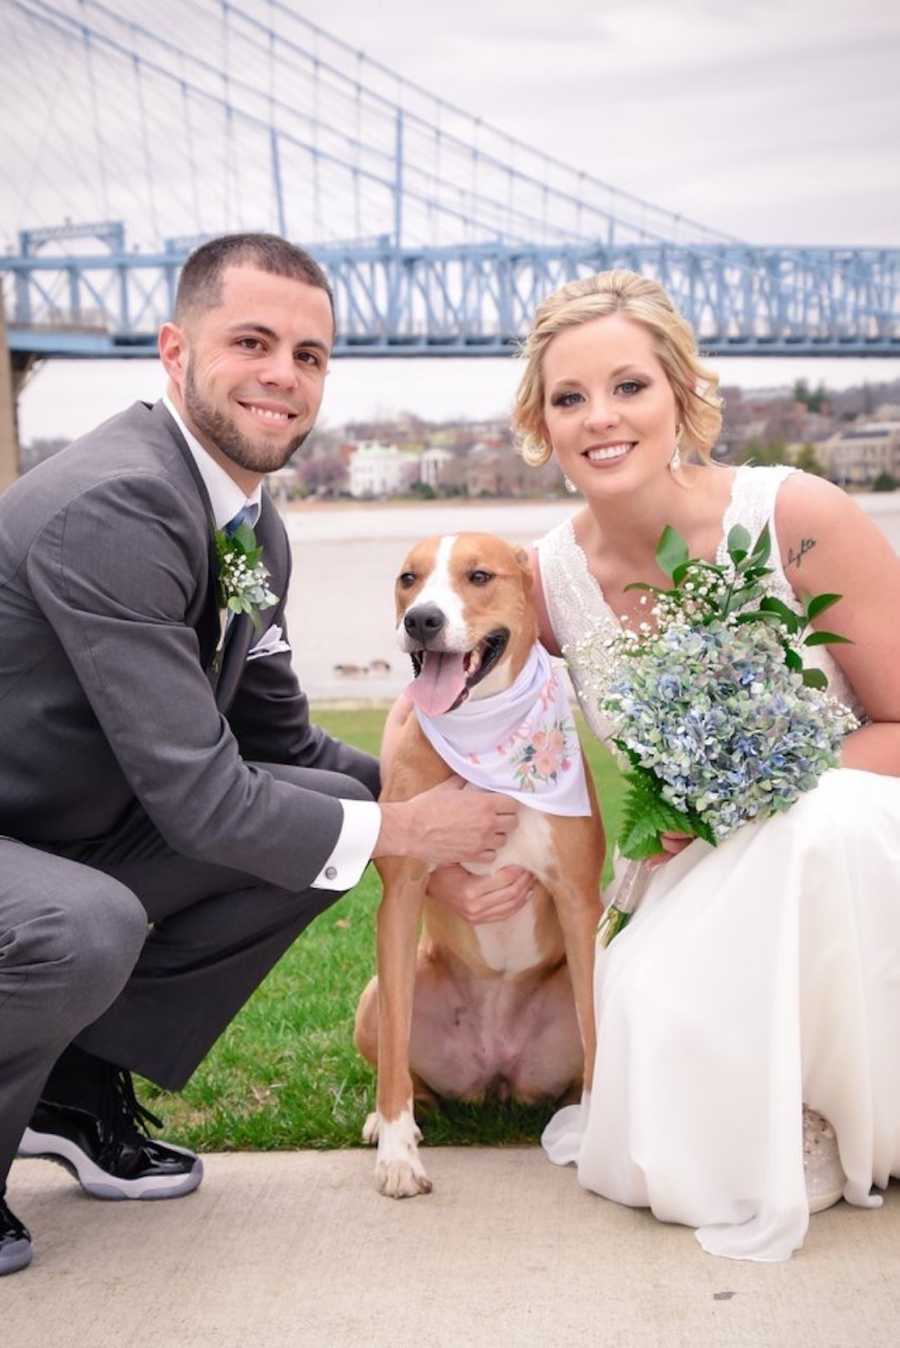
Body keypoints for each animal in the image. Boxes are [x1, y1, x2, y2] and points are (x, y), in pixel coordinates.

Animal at [352, 531, 603, 1197]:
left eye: (480, 576)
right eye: (408, 578)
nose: (423, 620)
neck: (485, 736)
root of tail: (496, 1077)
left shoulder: (577, 899)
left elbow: (597, 1030)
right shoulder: (402, 895)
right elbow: (394, 1058)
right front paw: (397, 1155)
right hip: (378, 992)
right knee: (403, 1066)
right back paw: (390, 1124)